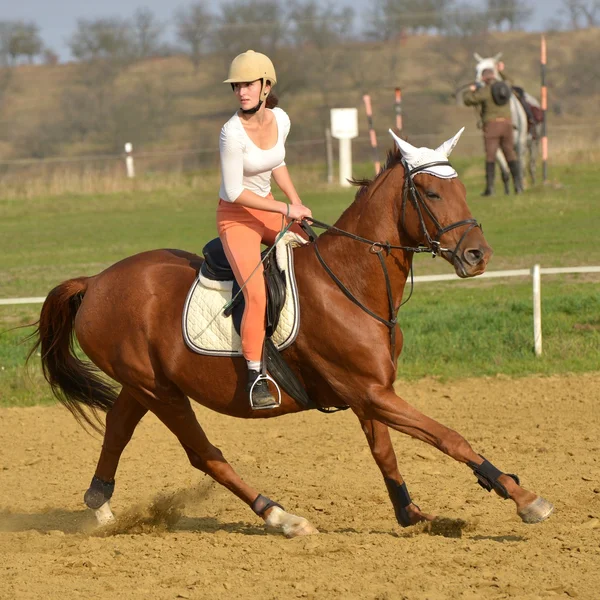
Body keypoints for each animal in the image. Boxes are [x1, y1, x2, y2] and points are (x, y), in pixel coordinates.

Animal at [30, 129, 552, 536]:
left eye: (461, 187)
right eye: (430, 193)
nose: (478, 255)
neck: (351, 281)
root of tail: (96, 282)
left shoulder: (370, 393)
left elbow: (385, 452)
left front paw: (414, 514)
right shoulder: (369, 391)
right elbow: (449, 437)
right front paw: (524, 498)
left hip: (144, 385)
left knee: (118, 427)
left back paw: (100, 509)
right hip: (161, 392)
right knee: (205, 455)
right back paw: (280, 516)